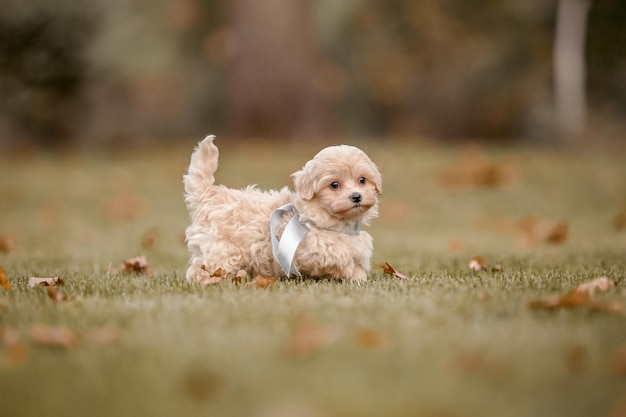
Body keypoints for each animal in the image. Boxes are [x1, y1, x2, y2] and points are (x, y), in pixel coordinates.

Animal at [183, 136, 380, 282]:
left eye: (362, 180)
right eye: (334, 185)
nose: (356, 196)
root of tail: (210, 194)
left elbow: (357, 264)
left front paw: (358, 279)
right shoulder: (311, 247)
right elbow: (339, 255)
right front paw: (347, 270)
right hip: (219, 250)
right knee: (201, 269)